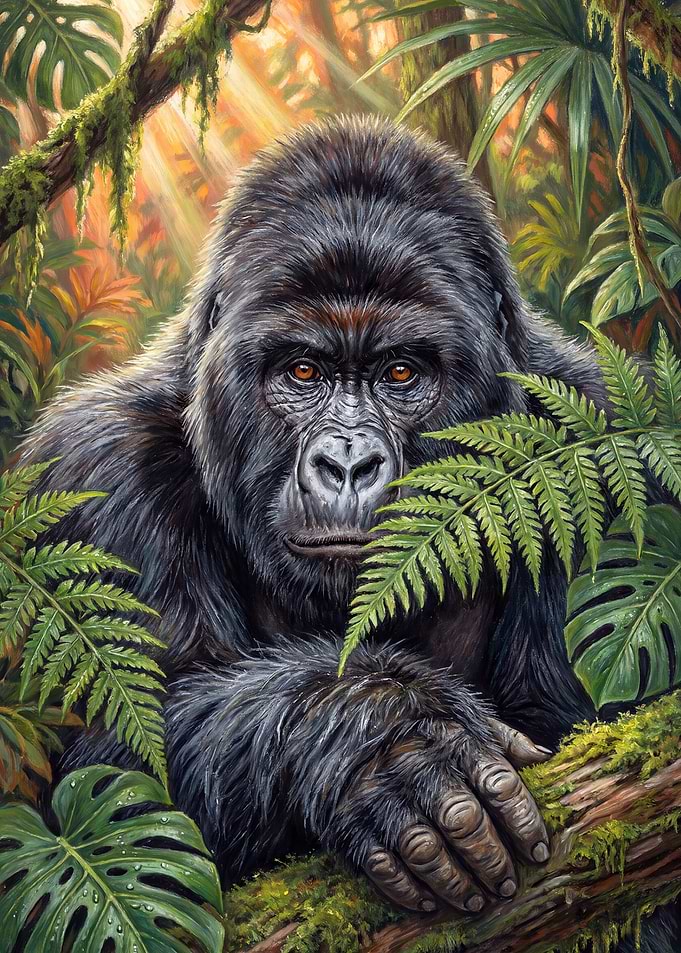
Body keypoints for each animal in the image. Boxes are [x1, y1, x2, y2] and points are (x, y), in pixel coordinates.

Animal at [21, 116, 679, 949]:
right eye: (303, 372)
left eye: (400, 374)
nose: (345, 462)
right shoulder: (95, 466)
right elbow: (122, 763)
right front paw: (384, 739)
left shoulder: (609, 440)